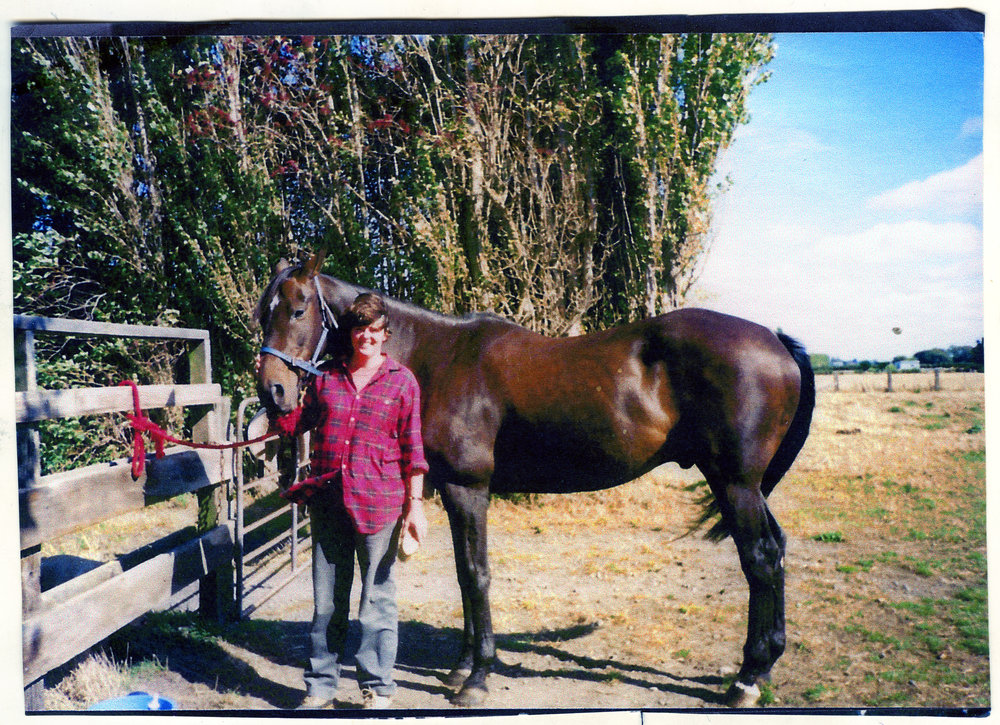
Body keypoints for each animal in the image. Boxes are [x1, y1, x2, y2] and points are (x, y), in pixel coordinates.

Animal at [254, 251, 815, 708]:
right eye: (264, 313)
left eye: (299, 309)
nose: (273, 393)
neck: (439, 358)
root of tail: (775, 340)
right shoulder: (455, 492)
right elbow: (464, 573)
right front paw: (461, 667)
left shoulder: (468, 489)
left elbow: (476, 574)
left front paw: (477, 679)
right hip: (743, 485)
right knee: (777, 550)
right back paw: (765, 665)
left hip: (734, 482)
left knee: (761, 558)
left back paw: (746, 679)